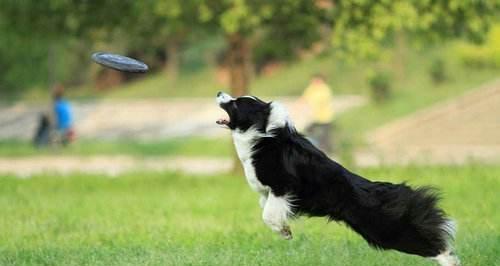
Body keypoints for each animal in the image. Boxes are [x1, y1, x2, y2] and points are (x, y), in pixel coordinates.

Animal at [215, 92, 460, 266]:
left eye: (236, 104)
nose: (219, 93)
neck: (262, 134)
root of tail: (396, 190)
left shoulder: (283, 186)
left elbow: (267, 214)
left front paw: (283, 231)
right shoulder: (272, 193)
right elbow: (267, 207)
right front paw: (285, 230)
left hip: (385, 230)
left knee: (436, 246)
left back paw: (449, 260)